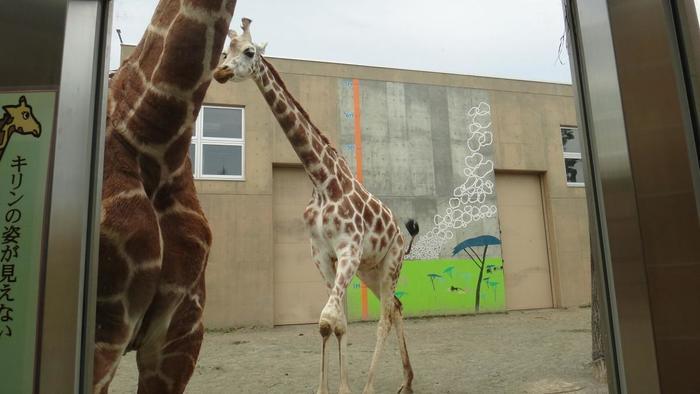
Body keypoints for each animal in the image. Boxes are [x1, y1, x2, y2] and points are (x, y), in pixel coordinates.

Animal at [215, 19, 422, 394]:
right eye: (226, 51)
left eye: (249, 51)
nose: (220, 72)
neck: (323, 180)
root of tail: (405, 234)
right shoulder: (322, 256)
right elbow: (335, 323)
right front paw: (332, 387)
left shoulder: (348, 251)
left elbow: (328, 319)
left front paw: (347, 388)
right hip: (371, 270)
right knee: (397, 307)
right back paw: (406, 381)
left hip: (391, 264)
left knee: (386, 315)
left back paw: (373, 386)